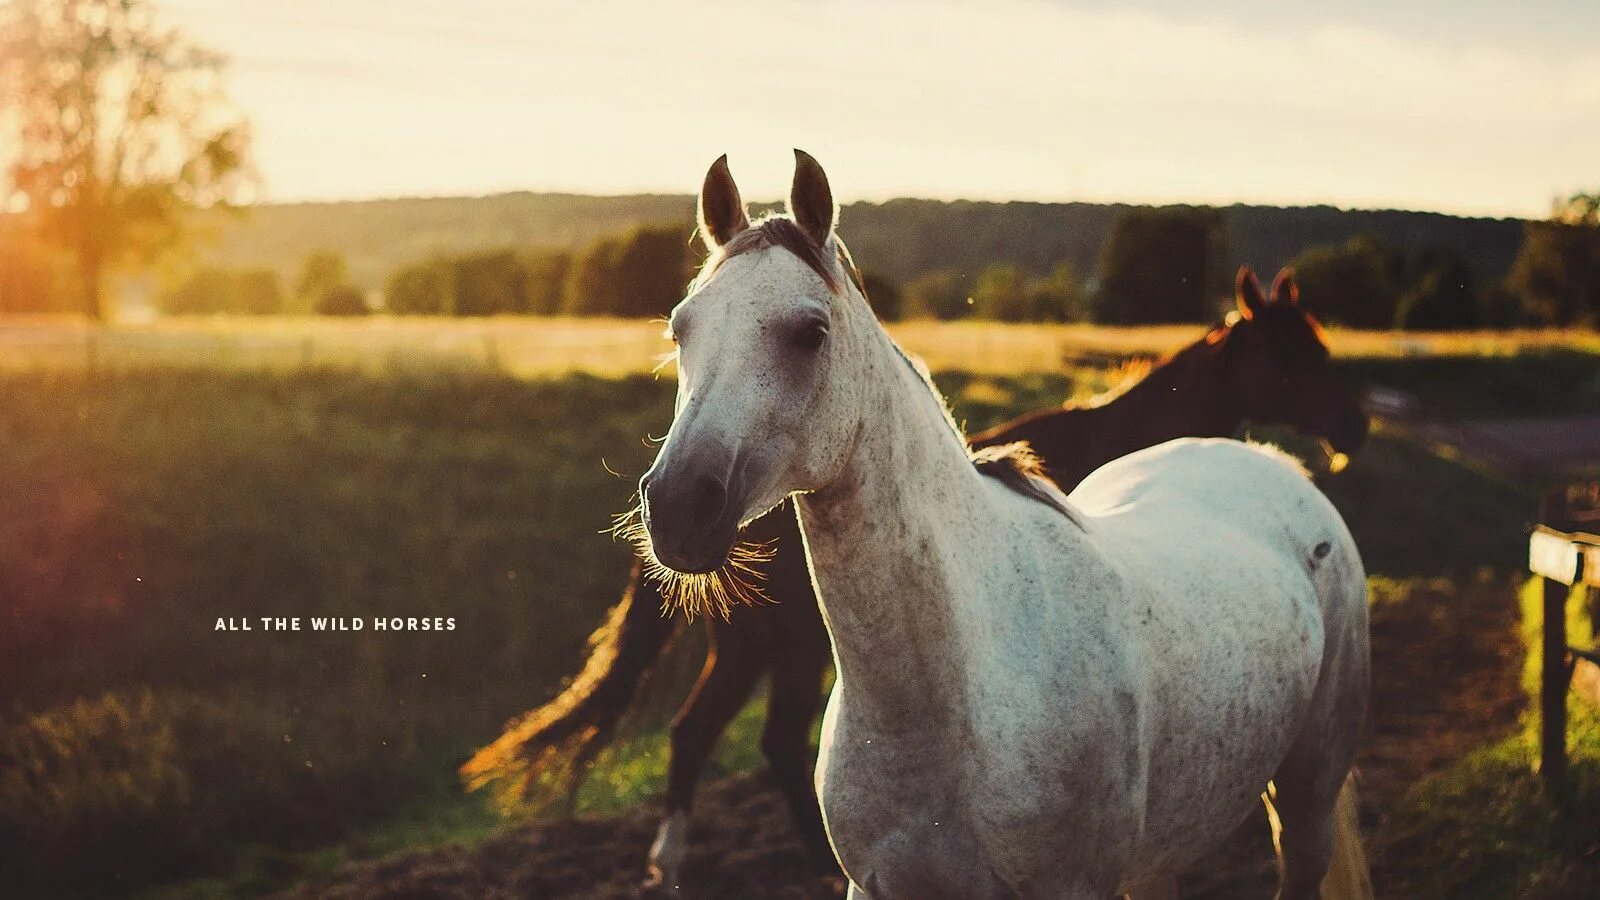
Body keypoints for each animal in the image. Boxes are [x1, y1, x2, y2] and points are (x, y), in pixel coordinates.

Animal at [460, 262, 1363, 883]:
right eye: (1289, 352)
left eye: (1321, 344)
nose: (1354, 425)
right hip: (780, 652)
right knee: (739, 738)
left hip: (754, 651)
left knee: (706, 735)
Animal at [640, 150, 1376, 890]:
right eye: (680, 328)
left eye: (811, 333)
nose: (676, 506)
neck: (958, 682)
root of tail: (1273, 462)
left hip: (1308, 797)